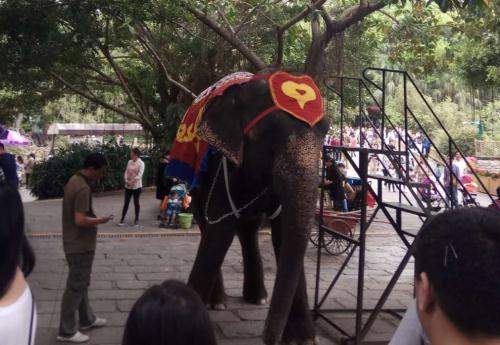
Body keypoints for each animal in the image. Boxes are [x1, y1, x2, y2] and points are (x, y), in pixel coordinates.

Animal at [167, 70, 328, 344]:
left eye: (325, 133)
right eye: (268, 133)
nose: (267, 338)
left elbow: (284, 235)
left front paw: (303, 339)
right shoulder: (222, 164)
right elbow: (219, 233)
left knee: (248, 231)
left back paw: (257, 297)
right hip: (196, 183)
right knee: (208, 227)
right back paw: (218, 302)